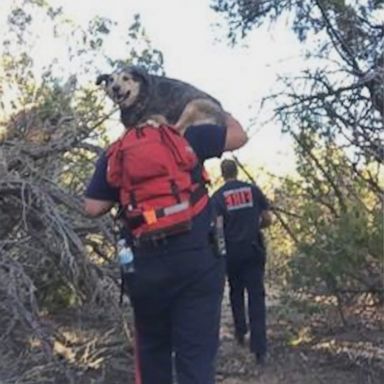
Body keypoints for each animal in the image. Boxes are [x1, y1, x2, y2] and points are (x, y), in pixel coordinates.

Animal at [95, 66, 225, 132]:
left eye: (126, 78)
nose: (115, 88)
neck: (140, 97)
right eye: (111, 80)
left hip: (193, 105)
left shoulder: (159, 115)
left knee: (176, 128)